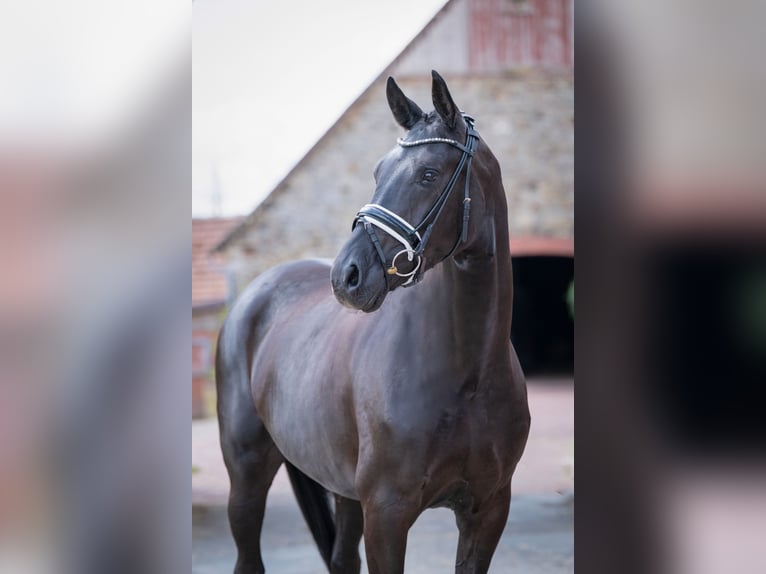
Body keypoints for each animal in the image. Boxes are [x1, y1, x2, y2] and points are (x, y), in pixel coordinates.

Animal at [216, 71, 530, 574]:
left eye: (428, 173)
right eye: (378, 172)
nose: (347, 275)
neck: (468, 375)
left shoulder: (488, 511)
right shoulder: (387, 513)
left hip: (342, 489)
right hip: (246, 476)